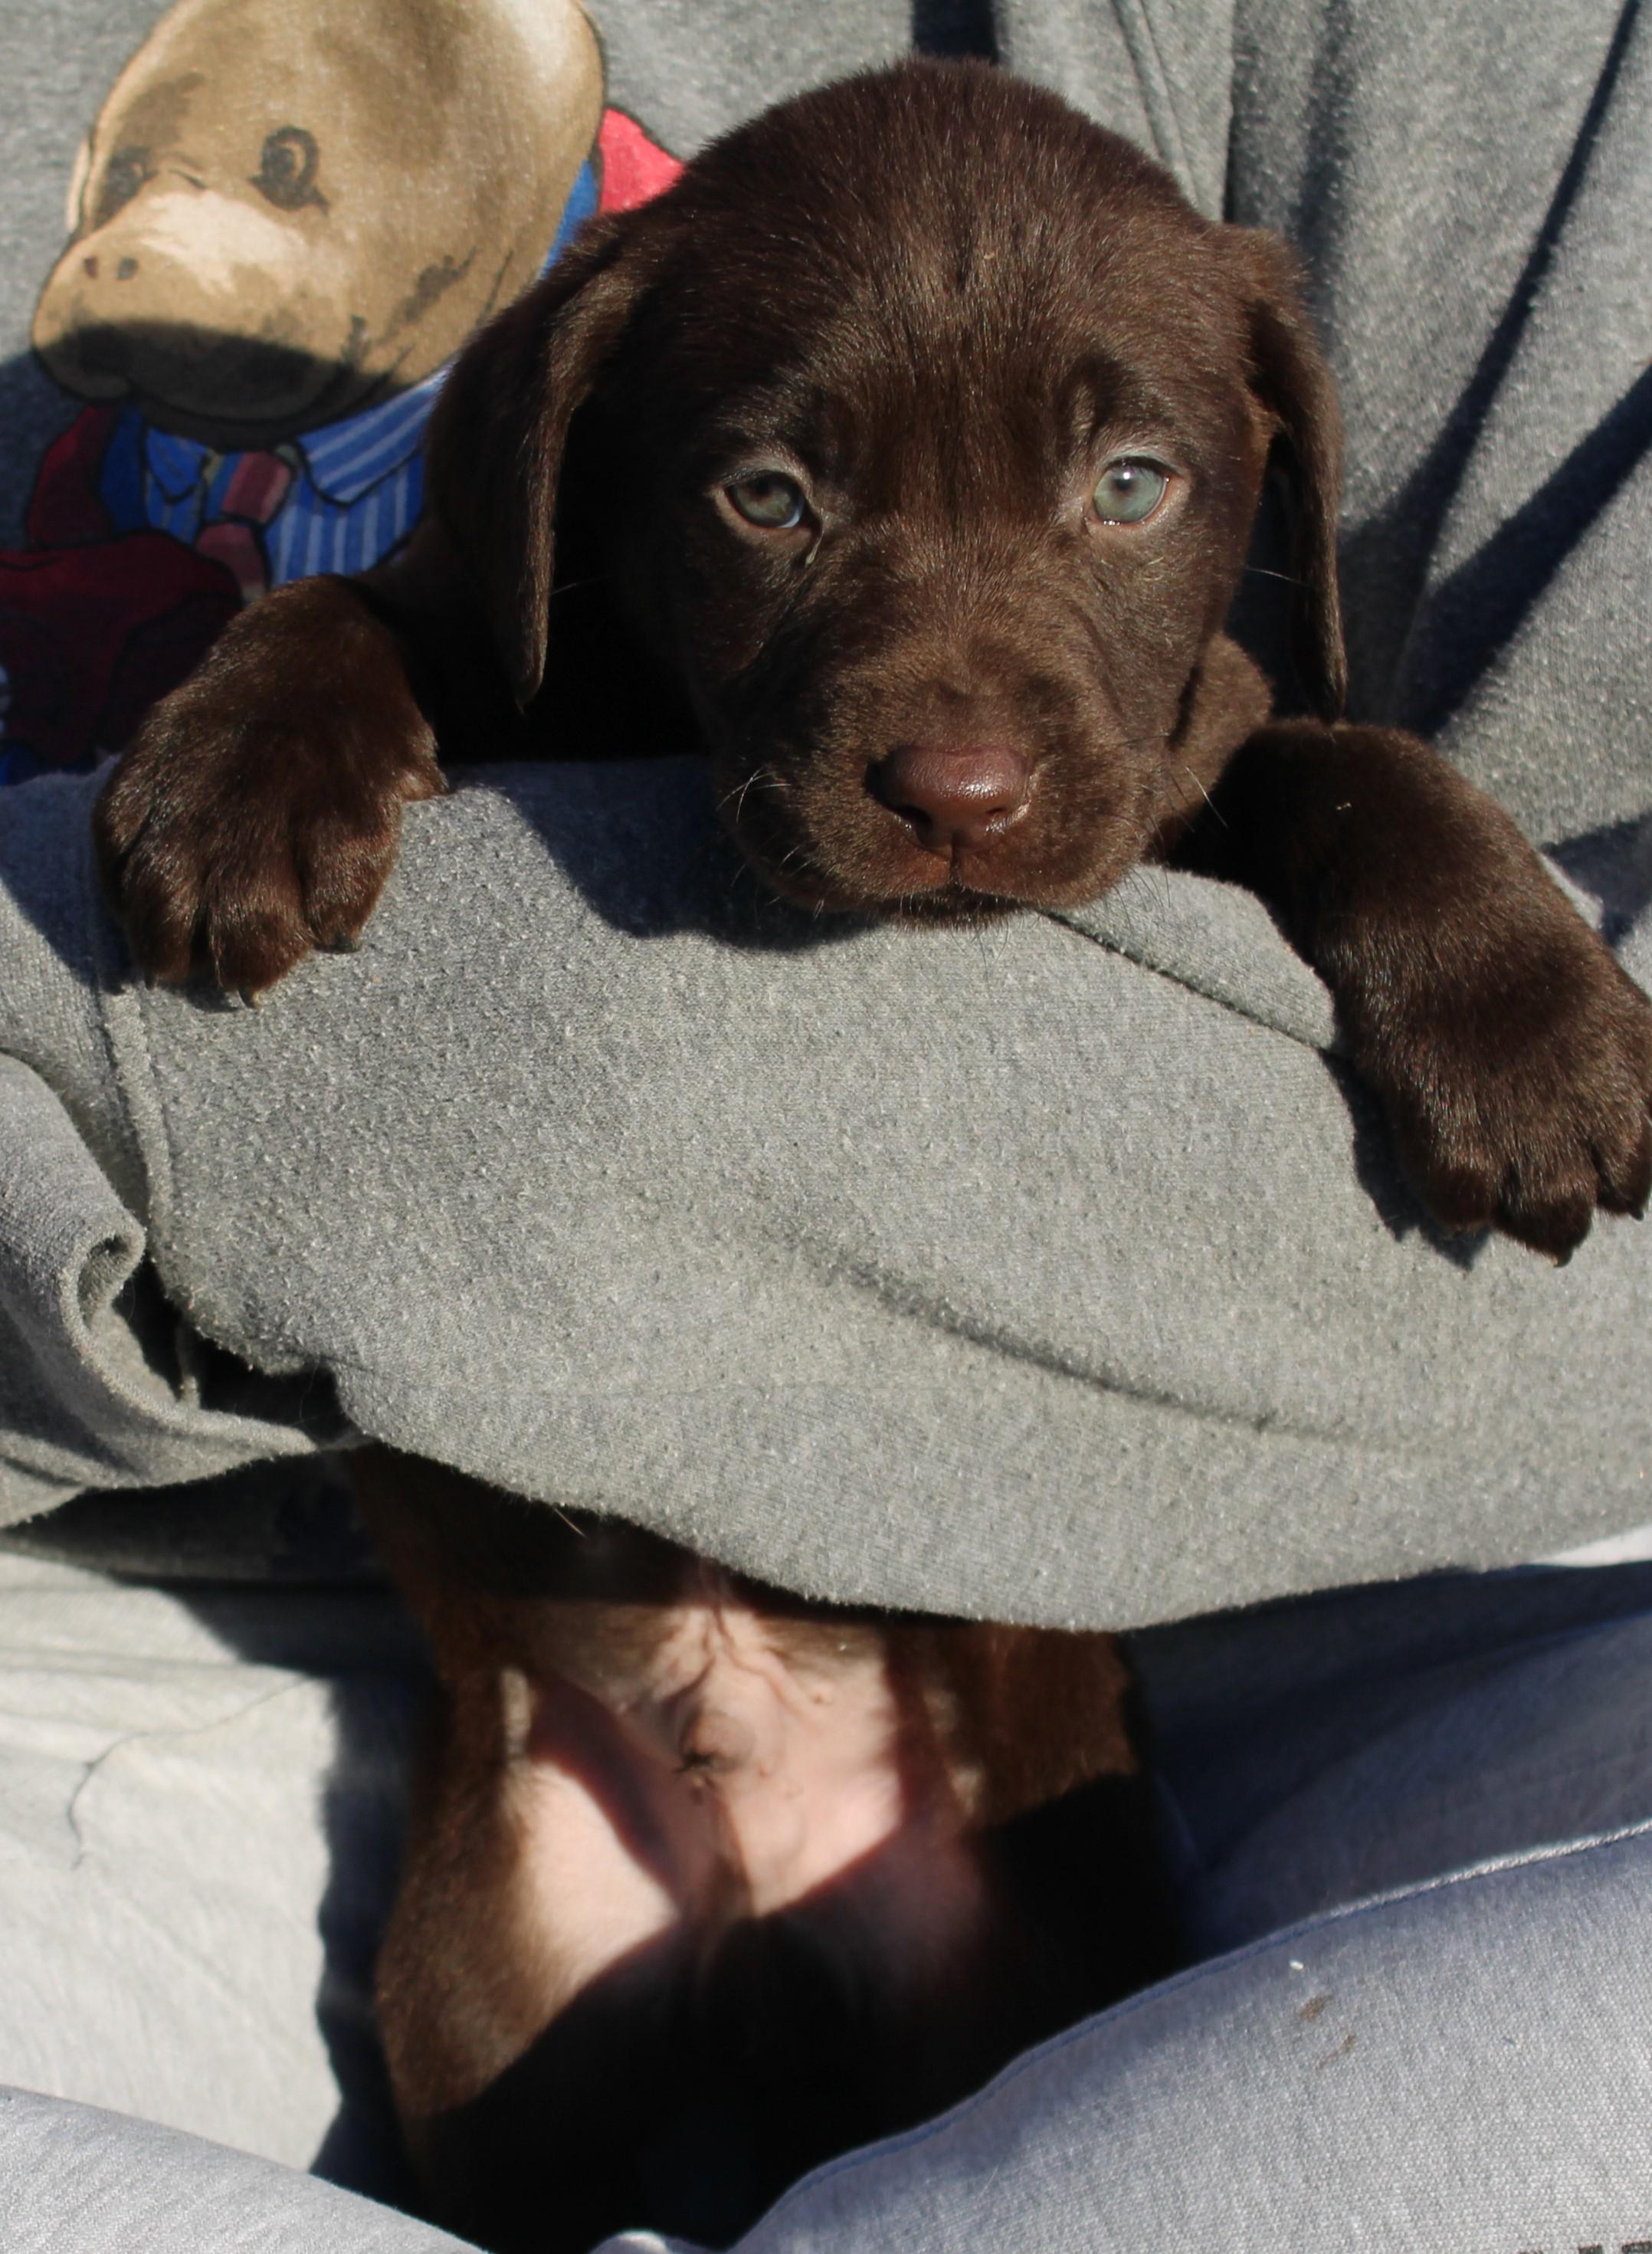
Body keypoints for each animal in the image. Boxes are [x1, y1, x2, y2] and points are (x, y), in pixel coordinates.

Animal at [93, 56, 1652, 2252]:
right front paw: (230, 779)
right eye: (767, 502)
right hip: (486, 1989)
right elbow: (361, 604)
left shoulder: (1192, 751)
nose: (958, 797)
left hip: (1013, 1959)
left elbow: (1347, 751)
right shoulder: (514, 622)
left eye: (1132, 487)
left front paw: (1528, 1027)